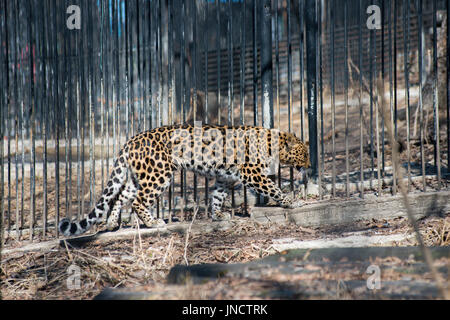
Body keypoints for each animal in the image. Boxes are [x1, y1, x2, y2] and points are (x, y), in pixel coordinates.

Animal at [59, 124, 310, 236]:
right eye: (305, 154)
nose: (309, 166)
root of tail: (131, 140)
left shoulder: (224, 177)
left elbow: (217, 196)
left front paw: (218, 216)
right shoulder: (252, 173)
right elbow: (273, 188)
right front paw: (291, 202)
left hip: (139, 176)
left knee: (121, 196)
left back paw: (112, 223)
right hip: (159, 174)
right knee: (139, 201)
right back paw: (153, 223)